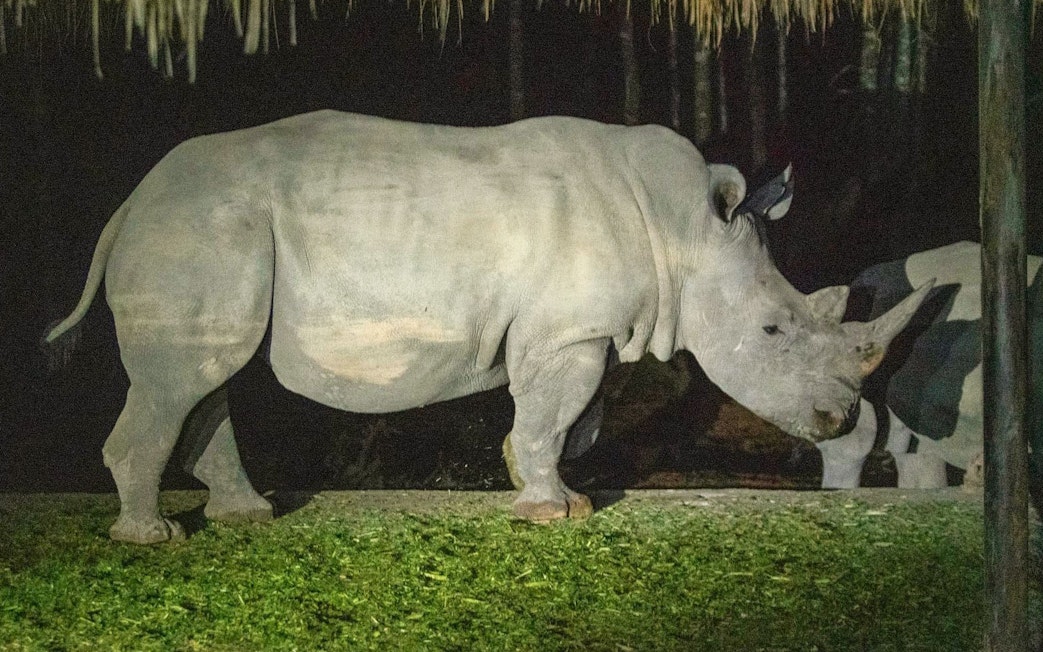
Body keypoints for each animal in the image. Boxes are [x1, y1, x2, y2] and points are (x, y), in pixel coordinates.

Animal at [44, 111, 929, 544]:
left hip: (215, 232)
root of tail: (131, 199)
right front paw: (548, 513)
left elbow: (572, 414)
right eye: (776, 331)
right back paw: (151, 539)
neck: (683, 232)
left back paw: (246, 518)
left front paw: (539, 486)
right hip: (202, 229)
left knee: (207, 377)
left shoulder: (580, 328)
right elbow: (555, 410)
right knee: (186, 379)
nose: (838, 419)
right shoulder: (568, 331)